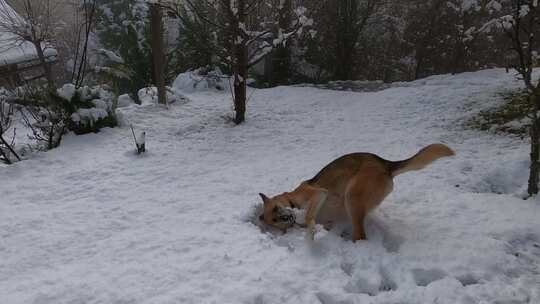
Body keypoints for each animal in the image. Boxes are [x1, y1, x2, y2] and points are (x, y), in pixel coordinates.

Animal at [260, 144, 454, 241]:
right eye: (275, 221)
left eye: (276, 209)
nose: (286, 217)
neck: (291, 200)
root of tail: (385, 164)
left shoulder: (318, 193)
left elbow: (309, 217)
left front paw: (311, 233)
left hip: (352, 197)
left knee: (361, 236)